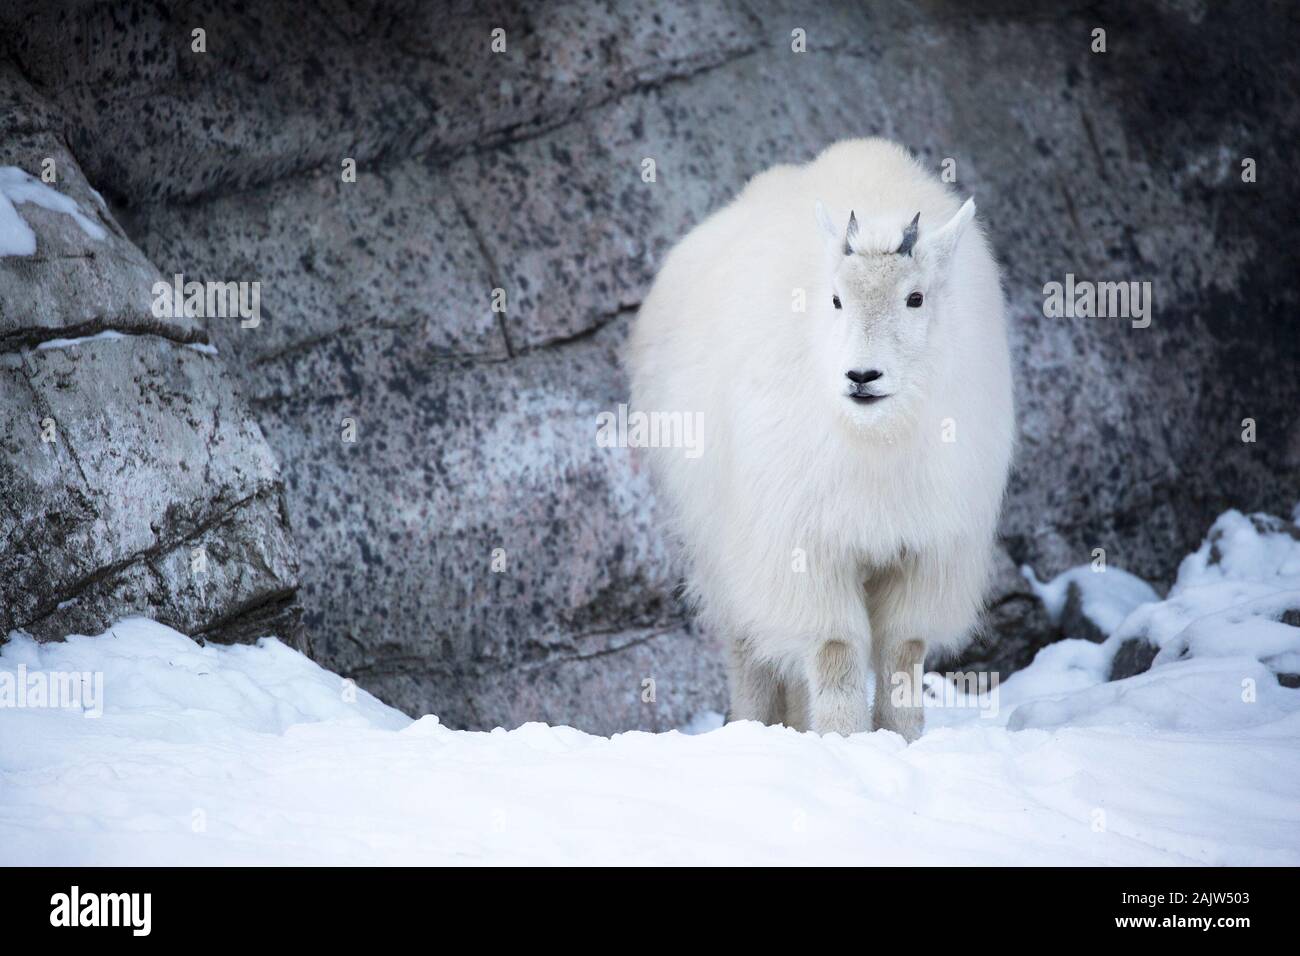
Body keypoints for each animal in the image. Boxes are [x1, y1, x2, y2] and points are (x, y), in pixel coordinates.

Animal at [629, 138, 1013, 743]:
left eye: (916, 298)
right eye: (835, 299)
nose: (862, 377)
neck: (877, 439)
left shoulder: (927, 549)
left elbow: (903, 650)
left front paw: (901, 741)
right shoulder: (805, 545)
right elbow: (835, 650)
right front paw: (845, 742)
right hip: (720, 538)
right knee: (747, 645)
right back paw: (755, 726)